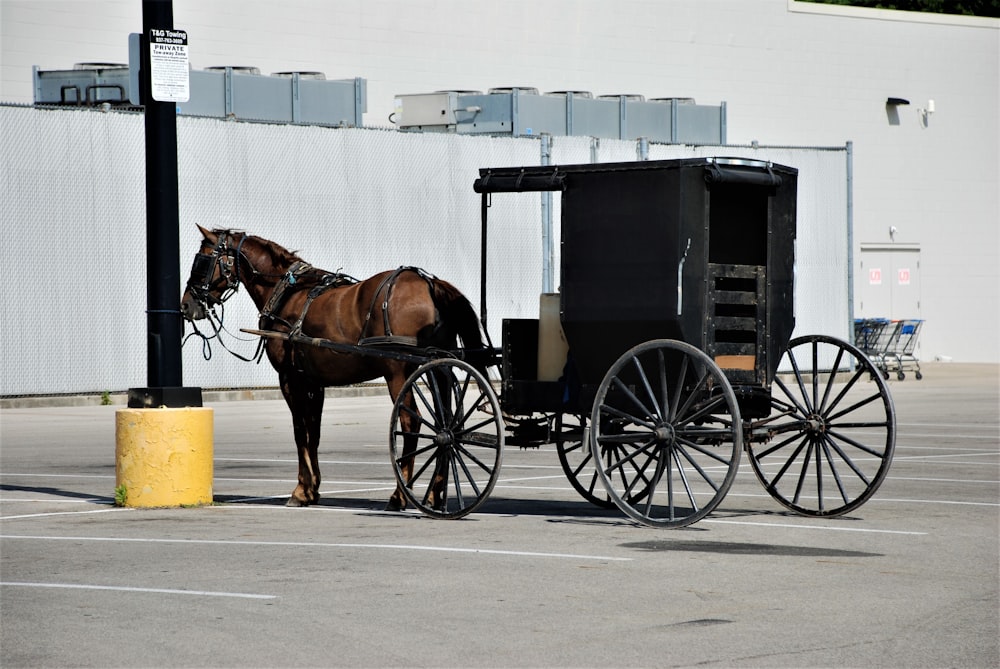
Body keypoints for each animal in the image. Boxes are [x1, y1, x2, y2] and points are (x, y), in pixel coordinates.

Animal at [184, 224, 488, 506]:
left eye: (201, 261)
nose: (186, 304)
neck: (289, 292)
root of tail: (430, 284)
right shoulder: (313, 382)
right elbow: (314, 431)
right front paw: (313, 488)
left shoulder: (290, 379)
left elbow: (299, 430)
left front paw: (301, 491)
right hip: (440, 368)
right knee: (447, 423)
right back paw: (435, 493)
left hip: (399, 373)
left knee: (410, 421)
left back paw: (400, 495)